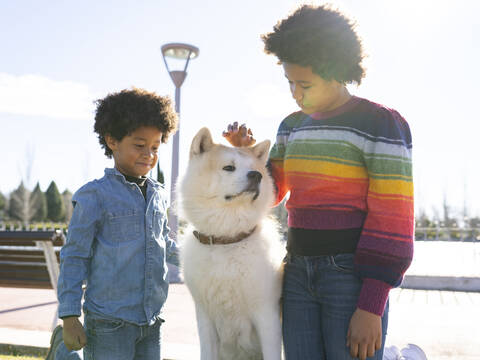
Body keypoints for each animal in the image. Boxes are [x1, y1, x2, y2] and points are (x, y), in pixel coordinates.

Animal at [179, 128, 284, 358]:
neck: (227, 240)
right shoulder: (205, 318)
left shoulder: (267, 315)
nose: (257, 175)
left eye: (256, 170)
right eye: (229, 168)